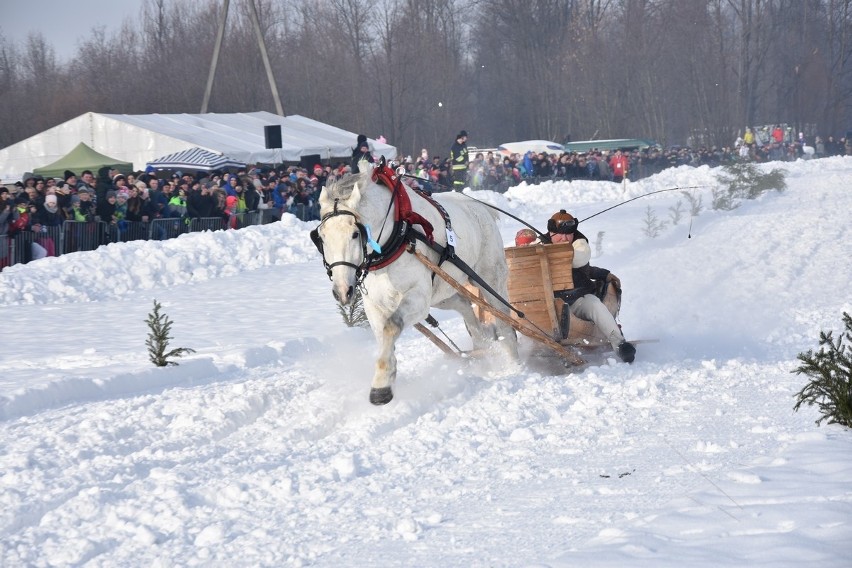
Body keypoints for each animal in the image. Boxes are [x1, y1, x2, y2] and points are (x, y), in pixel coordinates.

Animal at [312, 164, 520, 404]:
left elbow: (392, 326)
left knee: (504, 321)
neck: (397, 236)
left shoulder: (418, 298)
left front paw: (381, 386)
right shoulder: (375, 304)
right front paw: (387, 374)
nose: (342, 291)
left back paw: (513, 364)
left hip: (490, 280)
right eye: (321, 237)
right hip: (442, 292)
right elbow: (382, 337)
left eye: (356, 233)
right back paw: (481, 347)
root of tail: (483, 208)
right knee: (465, 308)